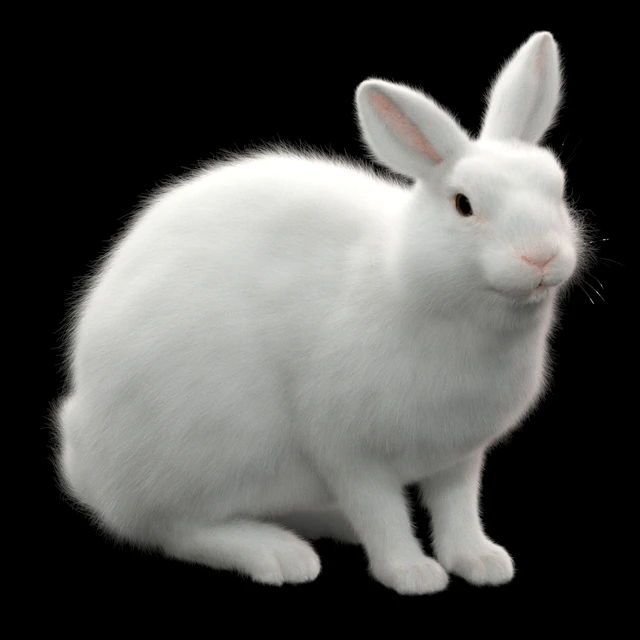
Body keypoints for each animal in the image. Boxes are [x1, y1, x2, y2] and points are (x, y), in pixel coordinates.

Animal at [52, 31, 588, 595]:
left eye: (557, 188)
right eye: (463, 204)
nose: (541, 258)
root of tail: (90, 471)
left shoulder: (458, 457)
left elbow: (458, 511)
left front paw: (482, 562)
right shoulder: (348, 451)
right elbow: (381, 514)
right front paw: (411, 573)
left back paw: (329, 524)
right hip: (207, 455)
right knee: (176, 527)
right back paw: (278, 553)